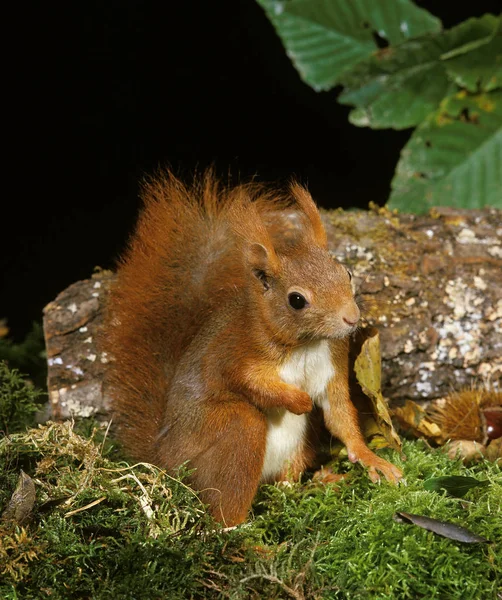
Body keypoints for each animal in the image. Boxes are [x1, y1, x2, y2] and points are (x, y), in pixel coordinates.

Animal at [103, 169, 404, 524]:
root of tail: (163, 458)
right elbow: (249, 382)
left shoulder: (333, 360)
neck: (305, 344)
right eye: (296, 300)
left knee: (285, 481)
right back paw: (242, 532)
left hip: (295, 450)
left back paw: (313, 485)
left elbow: (339, 413)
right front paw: (299, 401)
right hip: (229, 431)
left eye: (346, 272)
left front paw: (371, 459)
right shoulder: (235, 353)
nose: (351, 317)